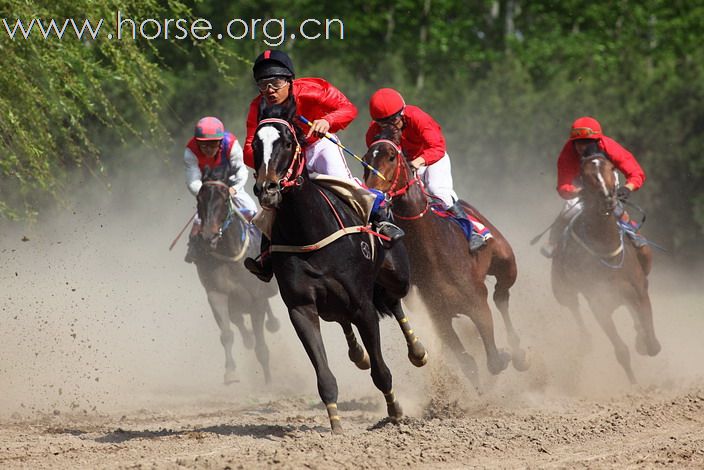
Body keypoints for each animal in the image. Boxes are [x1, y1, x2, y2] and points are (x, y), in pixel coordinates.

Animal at [194, 165, 282, 386]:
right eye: (199, 199)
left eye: (225, 198)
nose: (208, 236)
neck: (231, 255)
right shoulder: (216, 293)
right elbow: (226, 333)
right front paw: (231, 373)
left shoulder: (257, 298)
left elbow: (262, 347)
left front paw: (269, 382)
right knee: (238, 320)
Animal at [364, 124, 528, 390]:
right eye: (367, 158)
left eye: (390, 156)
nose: (372, 191)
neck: (435, 256)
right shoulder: (440, 317)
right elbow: (469, 363)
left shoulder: (478, 305)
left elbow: (493, 359)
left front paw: (505, 356)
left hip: (506, 263)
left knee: (502, 296)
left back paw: (519, 353)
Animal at [552, 152, 664, 384]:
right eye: (585, 175)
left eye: (611, 168)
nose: (608, 198)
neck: (607, 246)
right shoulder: (599, 305)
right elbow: (621, 351)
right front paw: (634, 385)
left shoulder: (639, 292)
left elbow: (650, 337)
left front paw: (644, 342)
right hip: (562, 290)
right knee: (574, 308)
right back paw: (586, 341)